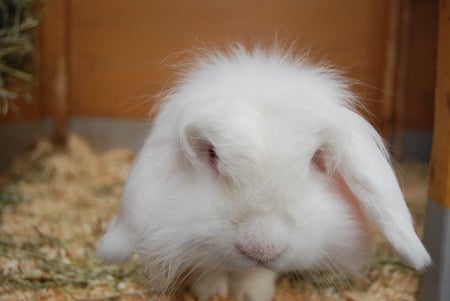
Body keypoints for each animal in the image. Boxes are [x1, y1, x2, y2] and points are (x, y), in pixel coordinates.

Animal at [97, 45, 428, 300]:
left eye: (314, 158)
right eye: (213, 154)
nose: (262, 247)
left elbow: (255, 276)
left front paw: (251, 294)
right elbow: (209, 269)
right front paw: (213, 293)